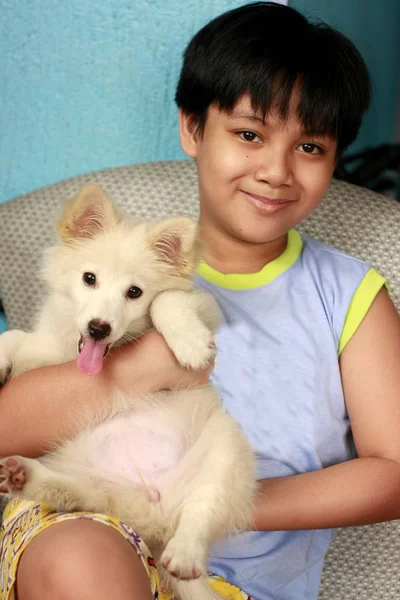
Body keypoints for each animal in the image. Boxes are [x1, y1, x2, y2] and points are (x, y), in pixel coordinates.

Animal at [0, 185, 256, 596]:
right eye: (89, 278)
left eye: (134, 292)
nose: (98, 328)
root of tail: (157, 512)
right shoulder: (49, 354)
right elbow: (16, 338)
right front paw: (1, 357)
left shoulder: (205, 305)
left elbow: (169, 300)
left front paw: (188, 343)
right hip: (92, 484)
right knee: (78, 495)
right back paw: (25, 476)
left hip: (225, 450)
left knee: (203, 508)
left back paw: (186, 552)